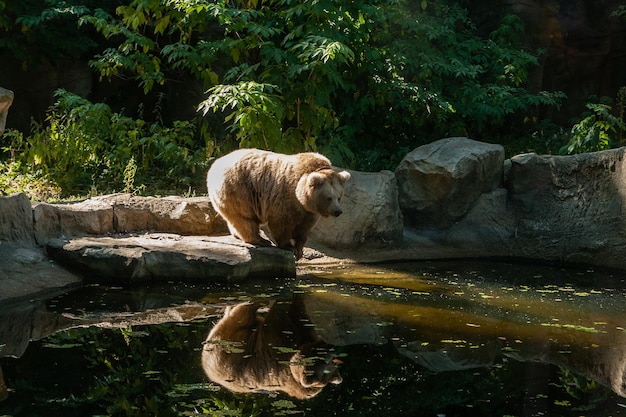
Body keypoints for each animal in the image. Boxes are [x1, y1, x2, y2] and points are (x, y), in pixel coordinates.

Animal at [207, 148, 348, 258]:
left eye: (339, 197)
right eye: (329, 197)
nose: (338, 211)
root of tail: (215, 165)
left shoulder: (308, 211)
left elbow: (304, 228)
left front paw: (299, 248)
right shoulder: (286, 196)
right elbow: (281, 222)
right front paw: (288, 246)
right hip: (239, 189)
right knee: (244, 218)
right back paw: (261, 240)